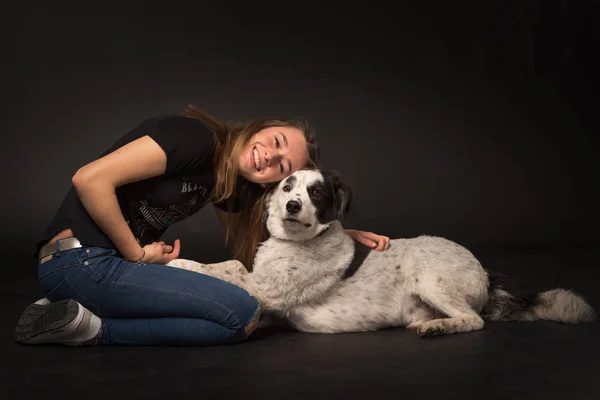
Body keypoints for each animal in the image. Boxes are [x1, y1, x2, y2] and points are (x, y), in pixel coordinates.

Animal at [166, 167, 596, 336]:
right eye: (288, 186)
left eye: (316, 193)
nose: (291, 205)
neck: (297, 243)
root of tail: (487, 276)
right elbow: (232, 264)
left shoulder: (261, 288)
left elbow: (227, 268)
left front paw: (180, 262)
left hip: (431, 277)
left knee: (474, 321)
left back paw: (439, 329)